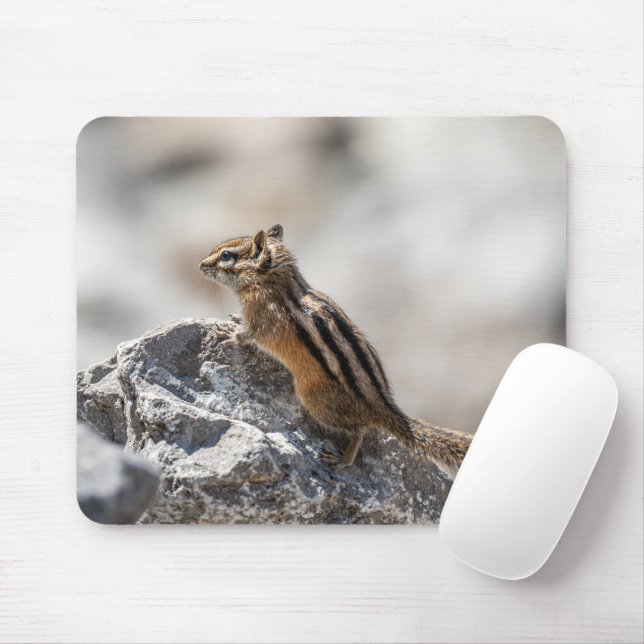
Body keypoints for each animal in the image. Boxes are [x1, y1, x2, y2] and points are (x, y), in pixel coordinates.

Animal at [200, 224, 472, 477]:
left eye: (226, 255)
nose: (201, 265)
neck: (272, 281)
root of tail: (383, 406)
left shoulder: (261, 317)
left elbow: (248, 335)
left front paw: (227, 335)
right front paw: (233, 321)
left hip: (314, 400)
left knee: (359, 431)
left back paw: (343, 459)